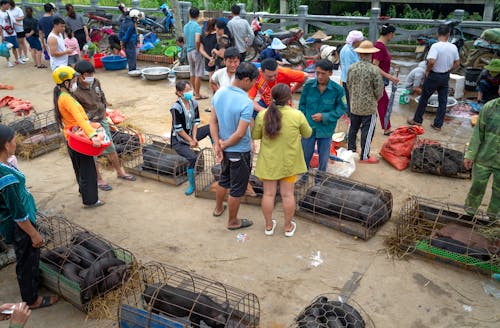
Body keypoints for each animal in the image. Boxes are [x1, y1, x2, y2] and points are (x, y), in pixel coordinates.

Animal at [118, 262, 260, 328]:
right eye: (219, 324)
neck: (209, 310)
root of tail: (147, 288)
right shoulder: (195, 316)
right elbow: (195, 324)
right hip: (154, 304)